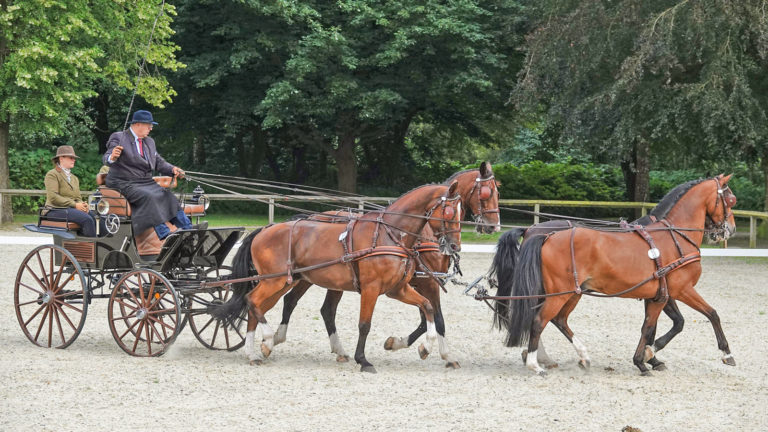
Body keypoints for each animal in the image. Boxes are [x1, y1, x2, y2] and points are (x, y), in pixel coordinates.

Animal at [212, 181, 462, 372]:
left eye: (461, 213)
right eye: (449, 213)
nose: (454, 246)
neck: (389, 234)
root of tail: (265, 229)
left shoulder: (398, 289)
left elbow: (428, 309)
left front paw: (425, 348)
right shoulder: (372, 288)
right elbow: (364, 324)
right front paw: (363, 360)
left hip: (281, 282)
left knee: (258, 307)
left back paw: (256, 351)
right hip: (275, 280)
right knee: (252, 301)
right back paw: (268, 339)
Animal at [272, 162, 500, 368]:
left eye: (498, 191)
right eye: (486, 193)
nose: (494, 226)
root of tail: (312, 216)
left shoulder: (415, 284)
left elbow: (426, 317)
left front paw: (402, 344)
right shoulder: (427, 283)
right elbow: (437, 319)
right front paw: (440, 353)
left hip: (330, 281)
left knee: (325, 309)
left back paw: (339, 351)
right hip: (308, 277)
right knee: (292, 301)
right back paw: (276, 338)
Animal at [492, 175, 736, 374]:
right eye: (731, 200)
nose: (730, 230)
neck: (673, 236)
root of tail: (544, 236)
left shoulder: (660, 294)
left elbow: (662, 325)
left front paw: (649, 356)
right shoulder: (682, 289)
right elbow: (710, 314)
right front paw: (726, 353)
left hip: (572, 292)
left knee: (558, 319)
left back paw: (579, 356)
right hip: (561, 292)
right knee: (538, 320)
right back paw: (535, 363)